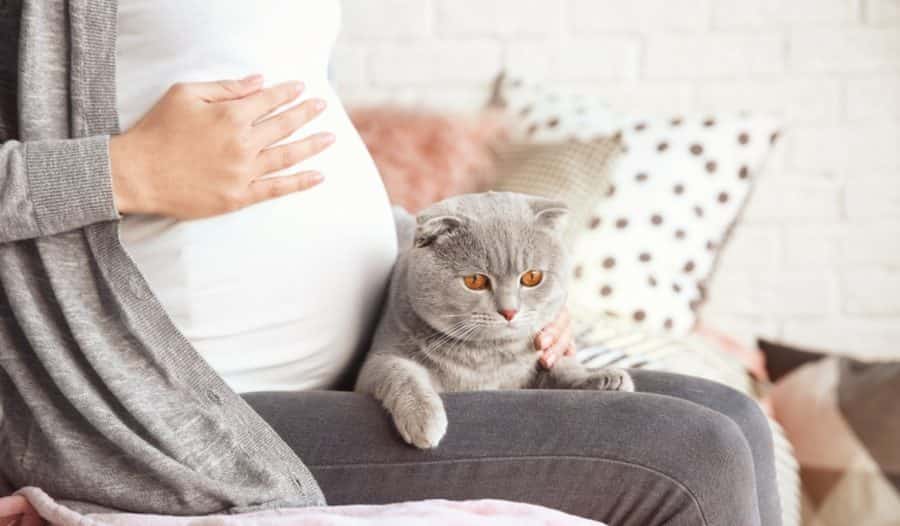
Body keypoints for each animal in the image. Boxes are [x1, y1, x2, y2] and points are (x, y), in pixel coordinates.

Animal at [354, 193, 632, 450]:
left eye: (532, 277)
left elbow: (562, 368)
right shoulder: (376, 363)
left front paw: (602, 377)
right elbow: (401, 372)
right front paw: (424, 418)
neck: (486, 357)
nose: (509, 311)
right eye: (475, 281)